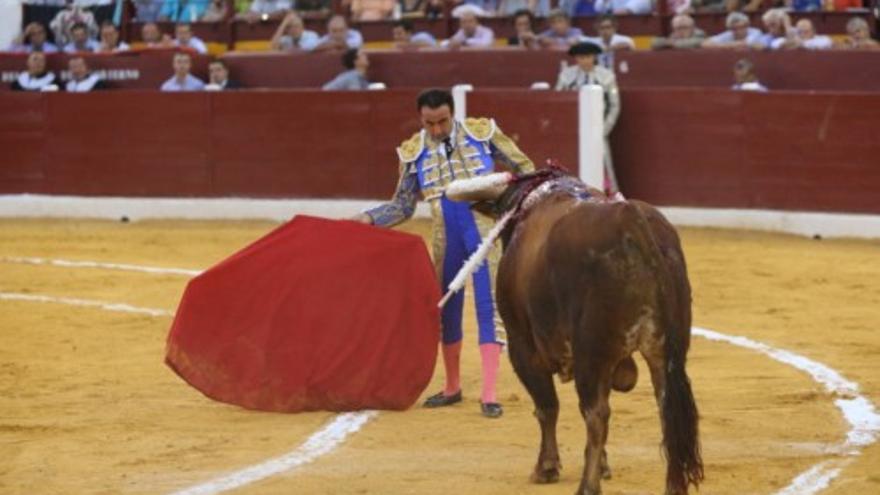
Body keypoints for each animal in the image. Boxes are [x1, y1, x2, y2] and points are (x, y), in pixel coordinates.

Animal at [450, 169, 704, 494]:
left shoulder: (522, 345)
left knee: (596, 413)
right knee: (666, 409)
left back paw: (587, 485)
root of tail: (631, 219)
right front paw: (604, 466)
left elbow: (547, 406)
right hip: (665, 352)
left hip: (591, 352)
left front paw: (546, 467)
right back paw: (673, 486)